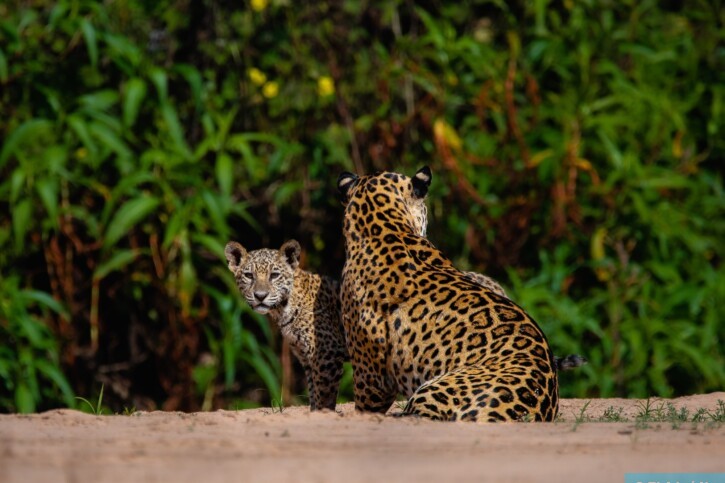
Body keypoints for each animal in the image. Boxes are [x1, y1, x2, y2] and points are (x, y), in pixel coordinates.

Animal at [224, 239, 346, 411]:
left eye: (274, 275)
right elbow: (313, 392)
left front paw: (322, 413)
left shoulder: (327, 355)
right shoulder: (306, 357)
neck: (282, 310)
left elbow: (323, 396)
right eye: (249, 276)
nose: (260, 296)